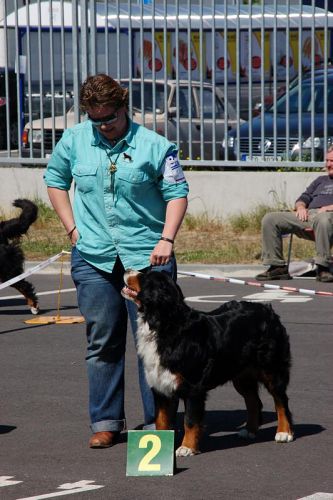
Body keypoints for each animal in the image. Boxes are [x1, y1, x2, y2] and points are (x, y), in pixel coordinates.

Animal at [122, 270, 294, 458]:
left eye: (143, 276)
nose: (126, 270)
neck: (166, 324)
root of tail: (268, 310)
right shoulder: (161, 386)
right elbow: (161, 420)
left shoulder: (193, 387)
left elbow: (190, 420)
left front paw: (187, 448)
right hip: (242, 376)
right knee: (254, 402)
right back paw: (249, 430)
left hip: (272, 369)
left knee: (281, 401)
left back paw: (284, 432)